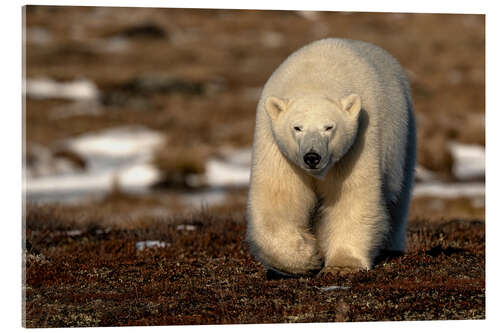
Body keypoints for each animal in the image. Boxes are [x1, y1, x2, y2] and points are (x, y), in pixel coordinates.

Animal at [245, 37, 414, 274]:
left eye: (329, 127)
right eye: (297, 127)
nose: (312, 157)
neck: (315, 79)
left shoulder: (358, 143)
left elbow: (352, 196)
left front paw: (343, 265)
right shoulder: (276, 146)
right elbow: (279, 197)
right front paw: (307, 256)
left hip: (403, 139)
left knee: (399, 198)